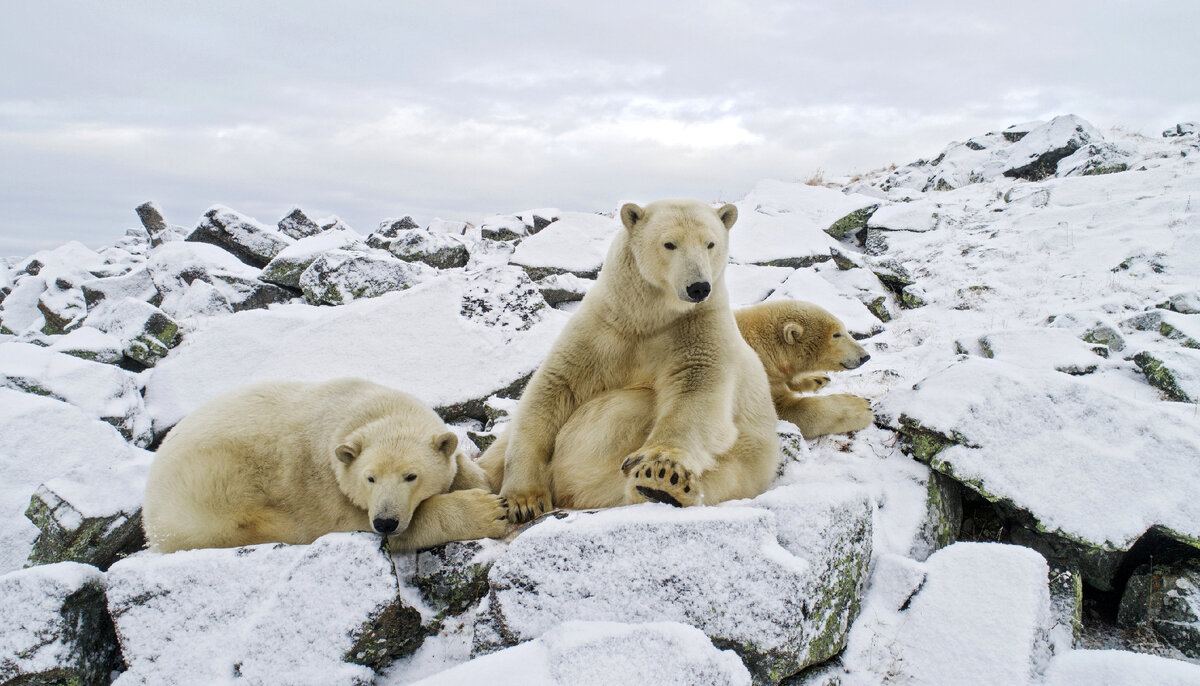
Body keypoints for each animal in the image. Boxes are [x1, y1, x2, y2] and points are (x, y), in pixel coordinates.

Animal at [142, 378, 508, 554]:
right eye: (370, 478)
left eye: (411, 476)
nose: (385, 521)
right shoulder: (326, 491)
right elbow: (363, 523)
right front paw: (489, 511)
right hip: (210, 502)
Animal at [482, 197, 782, 520]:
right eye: (669, 244)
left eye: (710, 243)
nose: (698, 287)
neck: (648, 317)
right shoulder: (604, 327)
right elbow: (553, 388)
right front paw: (524, 499)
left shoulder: (697, 327)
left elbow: (695, 391)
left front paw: (660, 467)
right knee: (497, 451)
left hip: (745, 461)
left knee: (719, 477)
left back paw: (662, 487)